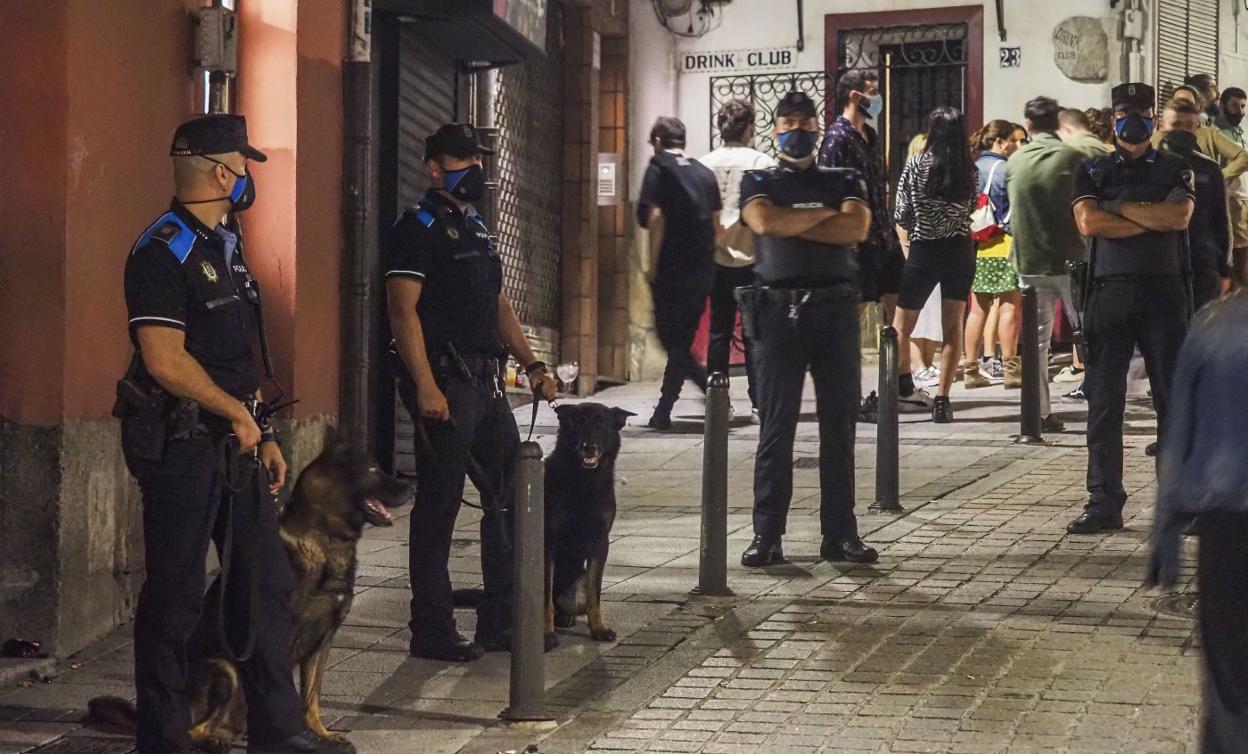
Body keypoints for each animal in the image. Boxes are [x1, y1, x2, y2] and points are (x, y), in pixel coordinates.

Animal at [93, 439, 414, 749]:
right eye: (373, 471)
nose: (411, 487)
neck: (324, 537)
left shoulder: (322, 643)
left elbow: (312, 698)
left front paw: (320, 733)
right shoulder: (282, 635)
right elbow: (288, 692)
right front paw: (296, 734)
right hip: (225, 670)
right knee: (193, 729)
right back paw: (212, 740)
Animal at [544, 399, 633, 649]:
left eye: (600, 426)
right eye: (577, 425)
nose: (589, 447)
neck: (585, 482)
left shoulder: (600, 543)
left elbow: (596, 593)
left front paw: (598, 629)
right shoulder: (548, 542)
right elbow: (544, 599)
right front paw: (546, 635)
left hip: (577, 589)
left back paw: (565, 617)